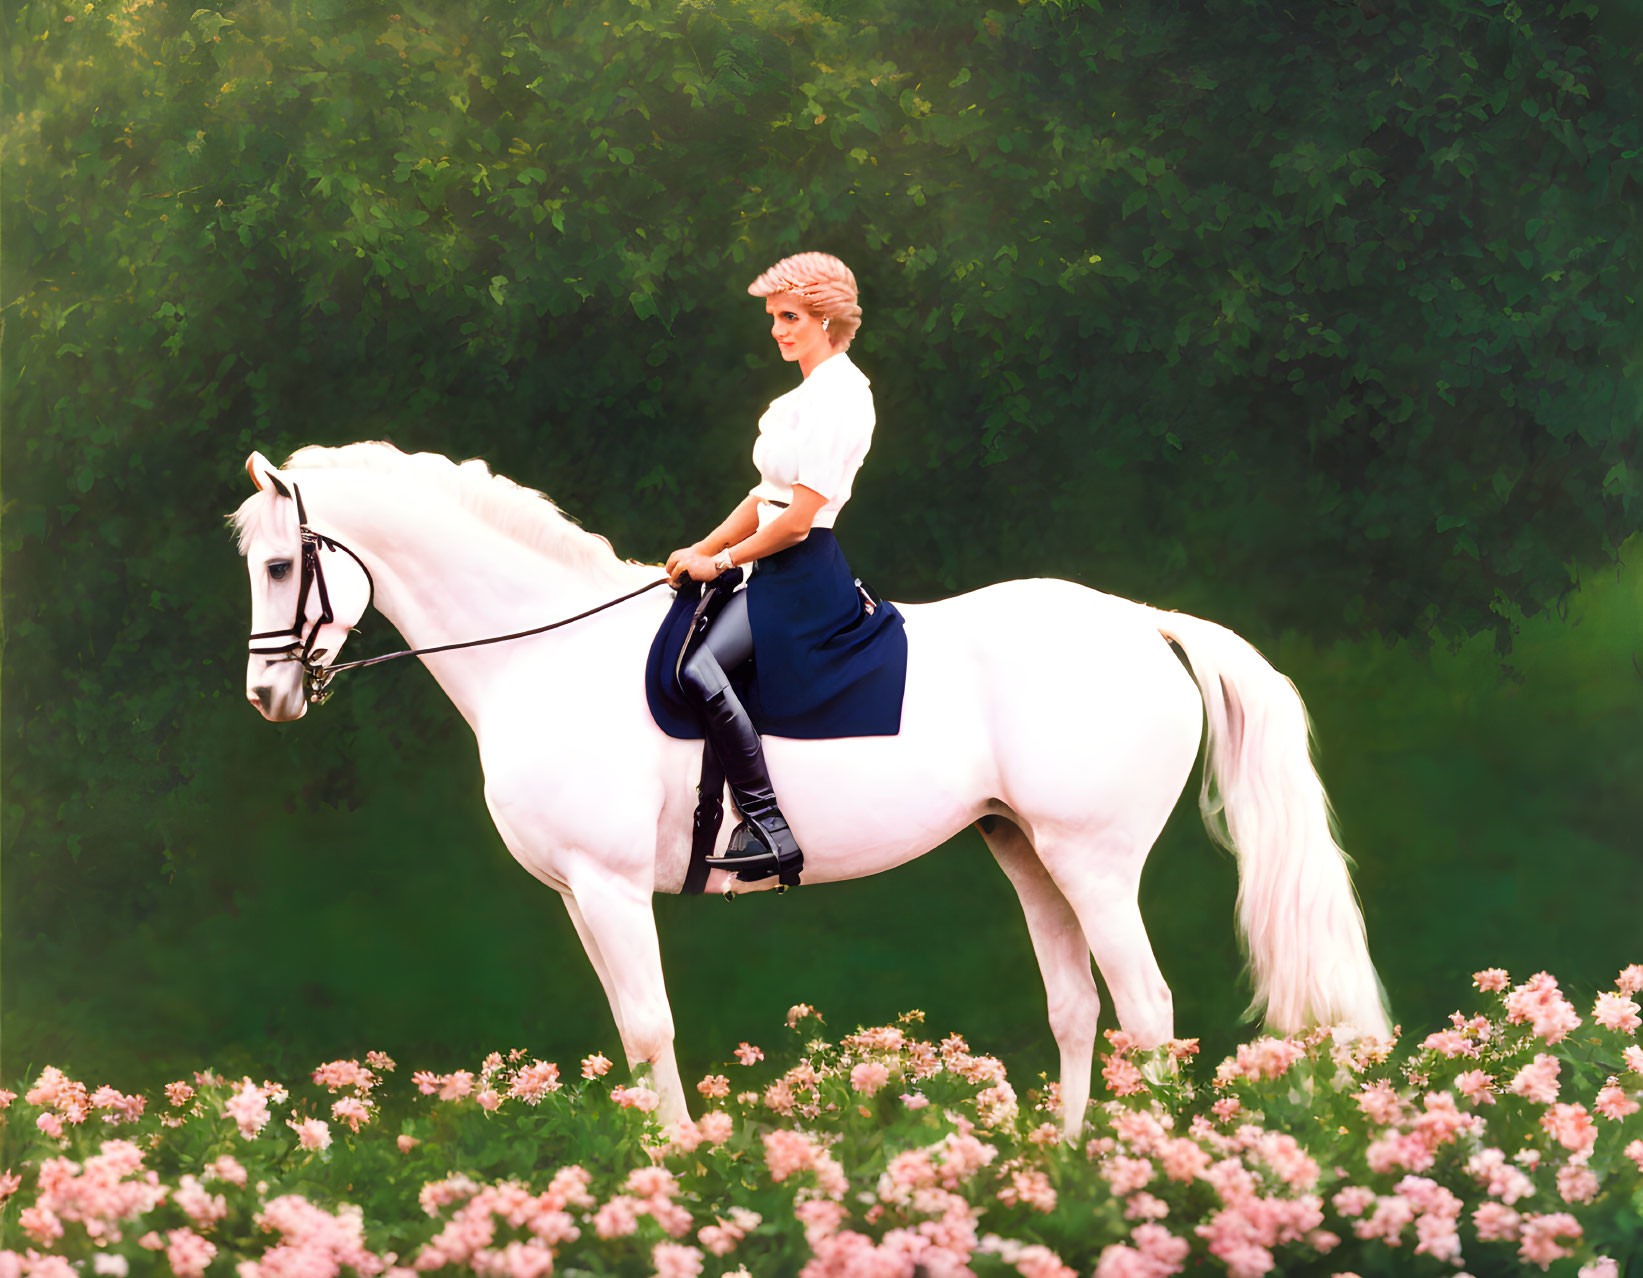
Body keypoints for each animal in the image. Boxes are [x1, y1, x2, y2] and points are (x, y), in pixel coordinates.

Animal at [231, 443, 1386, 1130]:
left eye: (283, 567)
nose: (266, 697)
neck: (542, 655)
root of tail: (1142, 621)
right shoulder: (579, 896)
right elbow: (629, 1036)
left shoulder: (608, 886)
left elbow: (647, 1030)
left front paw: (674, 1180)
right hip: (1028, 853)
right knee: (1076, 1012)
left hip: (1092, 860)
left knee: (1145, 1012)